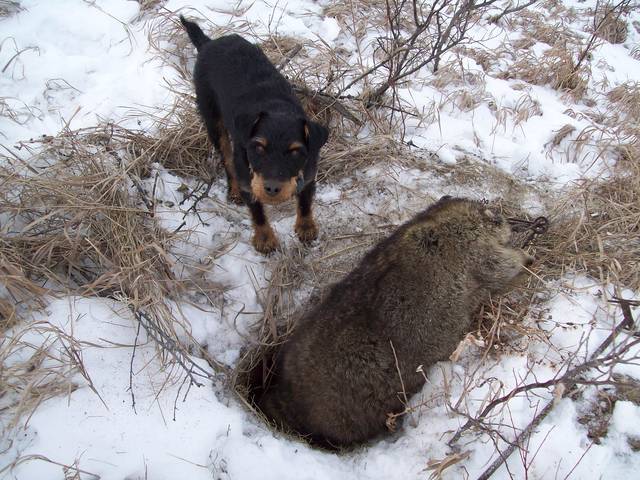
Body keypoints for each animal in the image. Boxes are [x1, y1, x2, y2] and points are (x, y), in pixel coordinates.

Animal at [180, 16, 329, 254]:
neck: (278, 109)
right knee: (227, 158)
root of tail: (208, 43)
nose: (272, 188)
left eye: (296, 152)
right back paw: (233, 191)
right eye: (258, 147)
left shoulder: (309, 171)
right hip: (212, 120)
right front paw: (265, 239)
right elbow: (257, 212)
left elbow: (305, 202)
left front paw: (306, 228)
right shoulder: (248, 181)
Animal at [258, 197, 534, 448]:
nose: (508, 220)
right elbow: (499, 264)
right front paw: (525, 256)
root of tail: (288, 400)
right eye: (497, 218)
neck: (441, 219)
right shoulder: (475, 248)